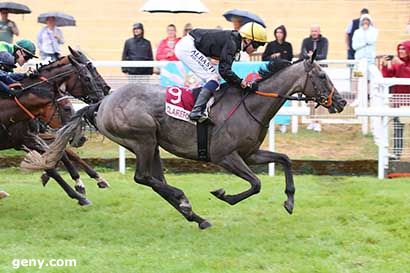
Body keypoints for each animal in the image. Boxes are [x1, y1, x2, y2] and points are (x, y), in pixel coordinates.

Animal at [23, 56, 346, 227]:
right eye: (321, 75)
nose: (341, 101)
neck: (250, 105)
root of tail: (101, 103)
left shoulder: (250, 154)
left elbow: (285, 160)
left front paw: (289, 200)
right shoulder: (226, 157)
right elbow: (255, 184)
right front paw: (223, 194)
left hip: (152, 144)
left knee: (155, 181)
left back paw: (195, 215)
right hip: (142, 138)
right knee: (144, 178)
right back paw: (184, 199)